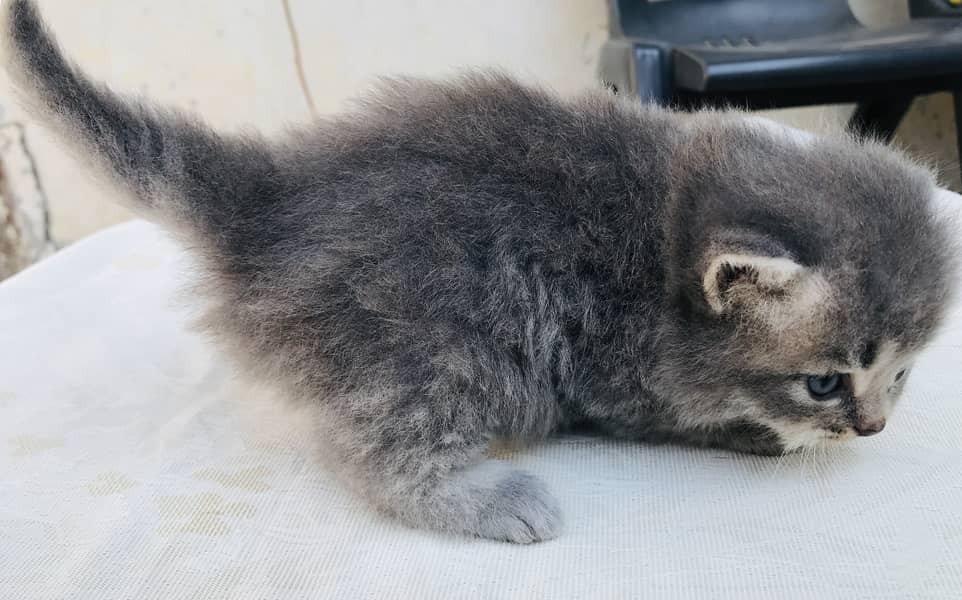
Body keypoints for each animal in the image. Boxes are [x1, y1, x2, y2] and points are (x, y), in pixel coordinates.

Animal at [5, 0, 952, 544]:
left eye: (902, 375)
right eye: (825, 382)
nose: (872, 428)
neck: (667, 233)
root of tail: (271, 202)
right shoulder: (615, 364)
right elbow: (676, 418)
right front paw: (758, 433)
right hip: (440, 336)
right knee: (371, 447)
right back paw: (488, 498)